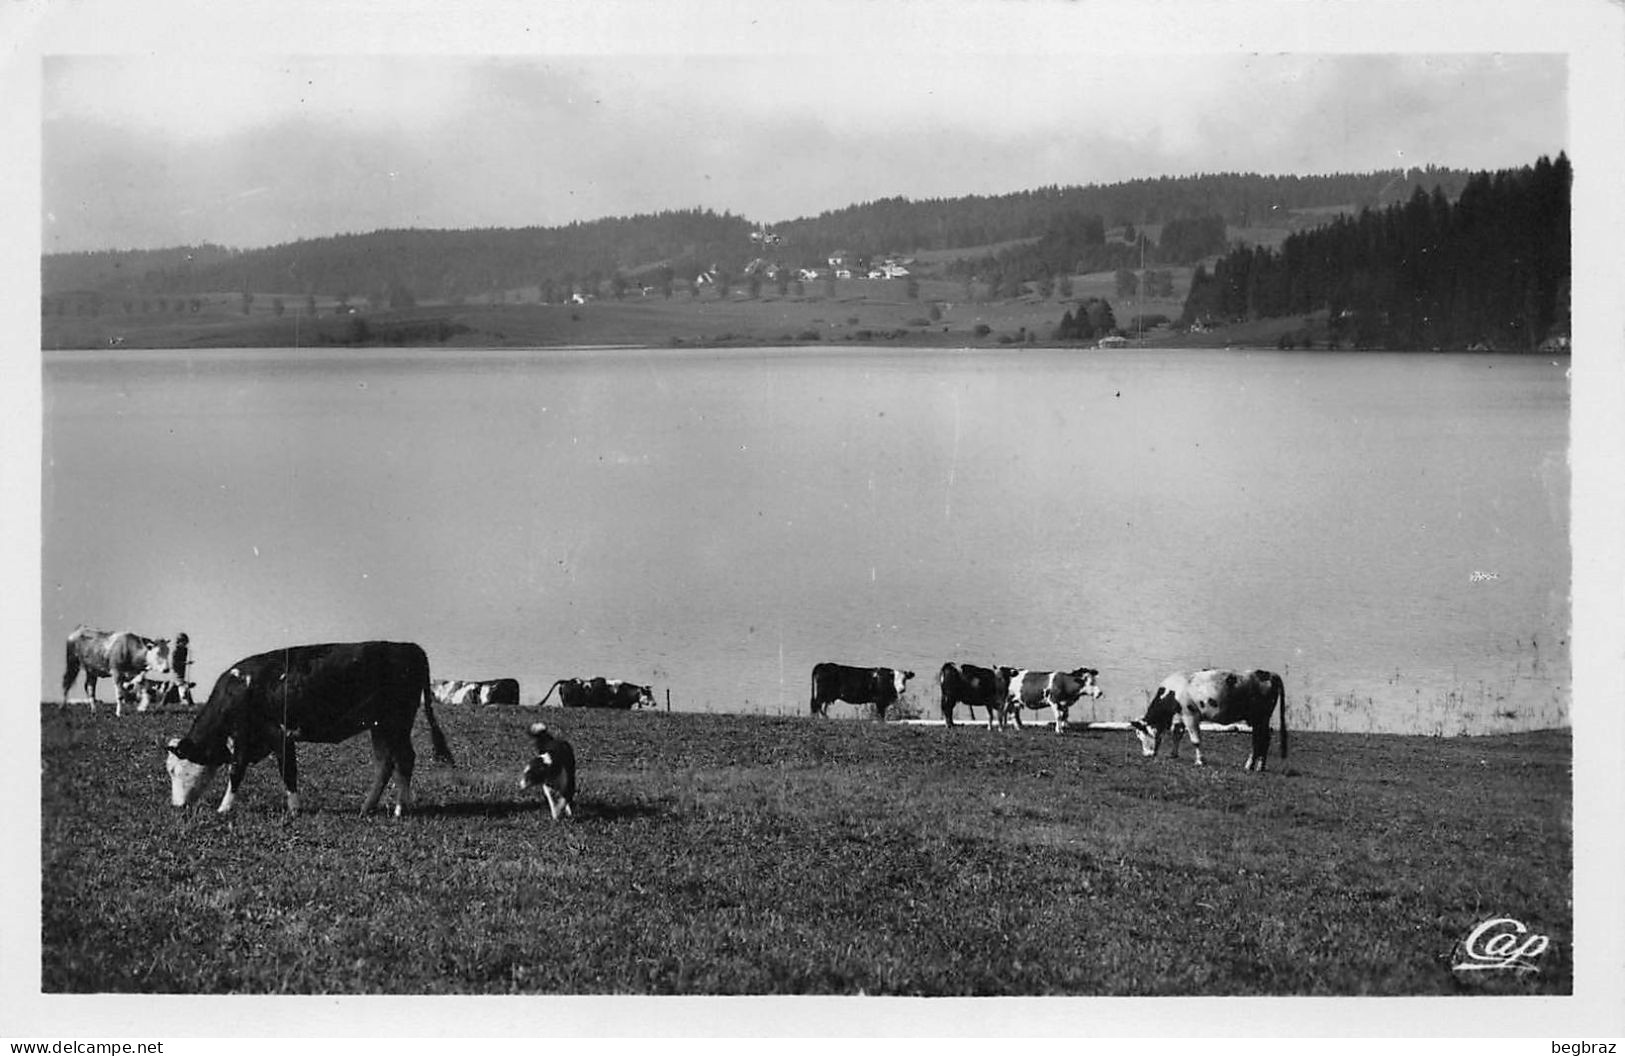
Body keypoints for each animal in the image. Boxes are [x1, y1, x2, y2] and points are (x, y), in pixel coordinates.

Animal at [1131, 669, 1293, 770]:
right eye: (1138, 736)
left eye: (1144, 734)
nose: (1147, 754)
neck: (1173, 691)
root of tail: (1268, 673)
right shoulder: (1180, 716)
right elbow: (1177, 734)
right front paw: (1173, 754)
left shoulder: (1191, 715)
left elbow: (1195, 740)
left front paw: (1200, 761)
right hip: (1259, 719)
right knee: (1262, 739)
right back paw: (1258, 766)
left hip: (1261, 717)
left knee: (1261, 740)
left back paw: (1253, 766)